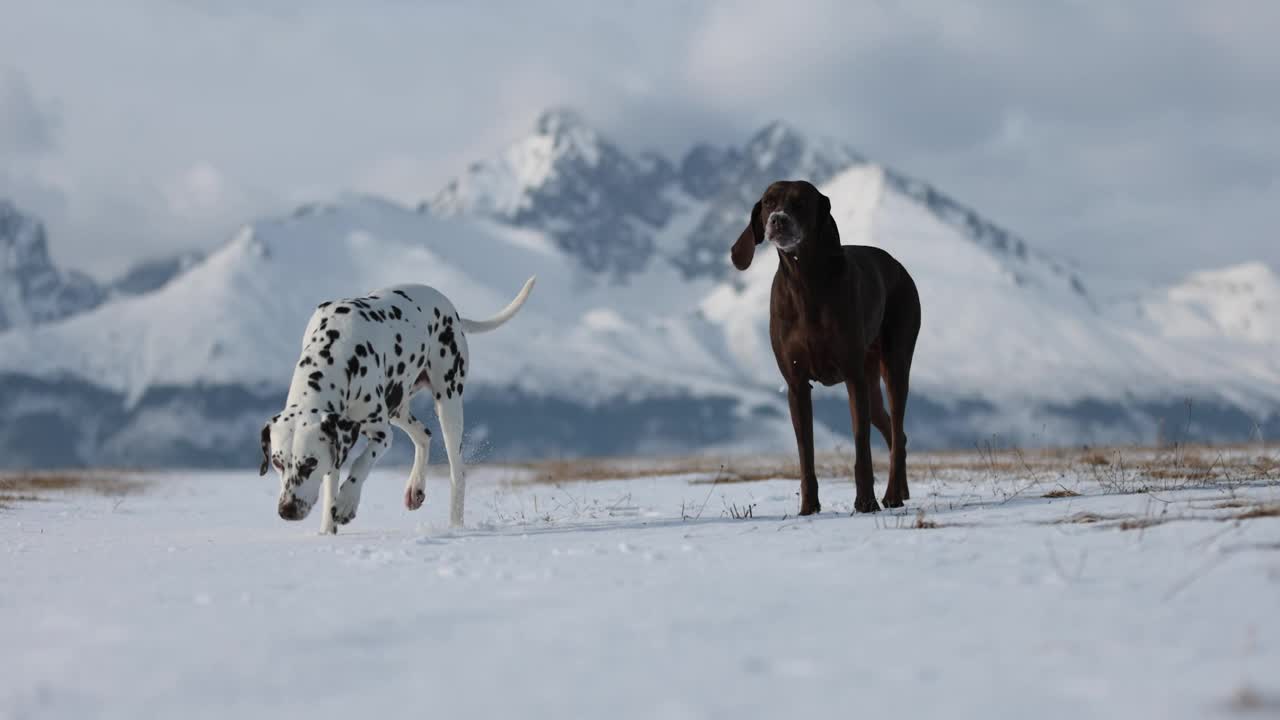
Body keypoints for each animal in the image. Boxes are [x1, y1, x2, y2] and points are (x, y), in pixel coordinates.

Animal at [259, 278, 535, 530]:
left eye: (310, 463)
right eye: (277, 463)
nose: (287, 510)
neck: (335, 351)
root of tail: (452, 310)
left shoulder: (381, 435)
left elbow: (361, 463)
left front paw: (347, 503)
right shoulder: (337, 444)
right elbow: (330, 487)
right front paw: (327, 531)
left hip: (448, 403)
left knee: (458, 472)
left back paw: (455, 525)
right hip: (398, 407)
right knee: (424, 434)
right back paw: (415, 487)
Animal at [732, 180, 921, 515]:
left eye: (800, 203)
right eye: (768, 202)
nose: (777, 220)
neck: (805, 284)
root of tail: (900, 268)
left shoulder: (853, 379)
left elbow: (861, 447)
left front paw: (866, 502)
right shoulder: (796, 385)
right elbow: (805, 452)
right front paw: (809, 507)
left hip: (895, 365)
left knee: (897, 428)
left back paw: (891, 495)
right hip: (871, 383)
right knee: (895, 432)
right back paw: (900, 489)